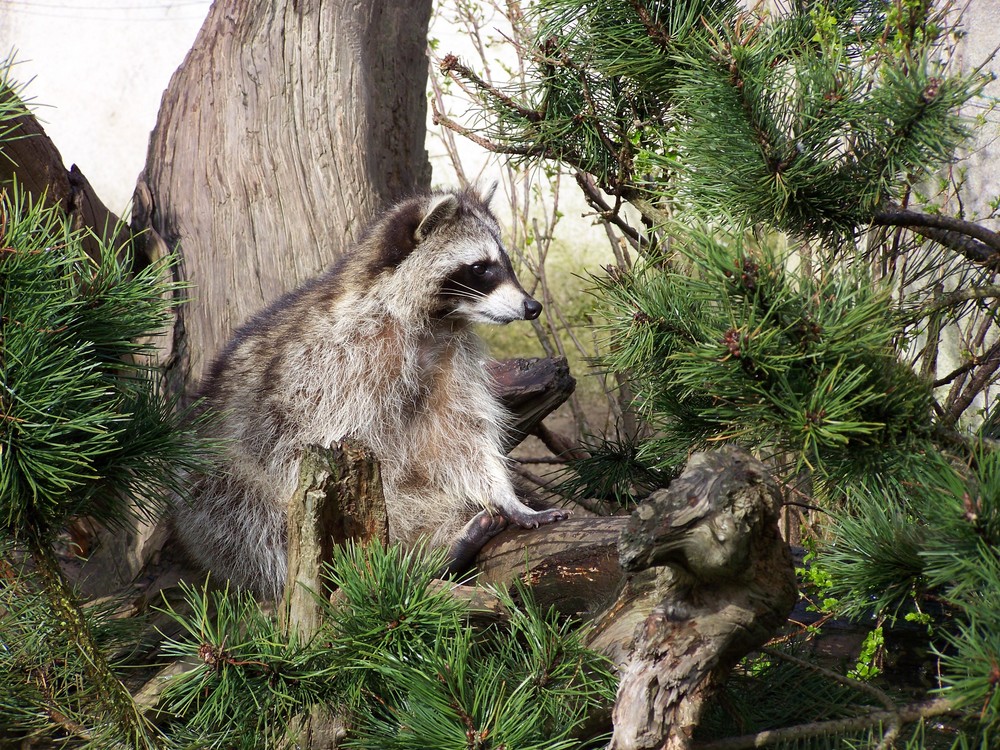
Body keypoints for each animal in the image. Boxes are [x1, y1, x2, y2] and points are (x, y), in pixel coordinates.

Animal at [175, 187, 568, 600]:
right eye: (480, 268)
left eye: (504, 262)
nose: (532, 306)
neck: (432, 320)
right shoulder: (333, 366)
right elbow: (323, 450)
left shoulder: (449, 360)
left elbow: (461, 437)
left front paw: (509, 498)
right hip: (214, 481)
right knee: (250, 517)